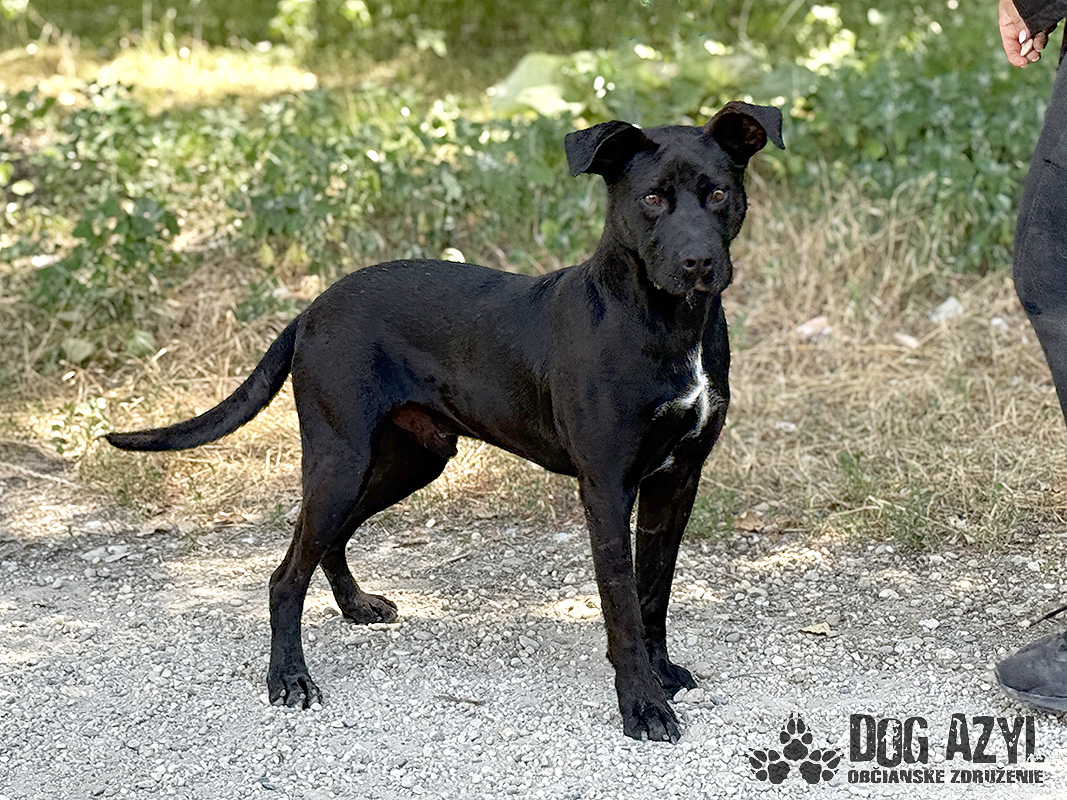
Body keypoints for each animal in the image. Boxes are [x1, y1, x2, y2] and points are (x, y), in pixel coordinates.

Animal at [106, 101, 783, 741]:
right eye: (651, 199)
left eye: (718, 193)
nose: (698, 262)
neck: (666, 323)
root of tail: (311, 308)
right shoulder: (607, 487)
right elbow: (621, 604)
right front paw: (642, 705)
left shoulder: (677, 479)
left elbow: (653, 592)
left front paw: (662, 675)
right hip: (340, 458)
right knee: (284, 574)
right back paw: (290, 678)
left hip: (407, 460)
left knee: (329, 540)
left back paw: (355, 606)